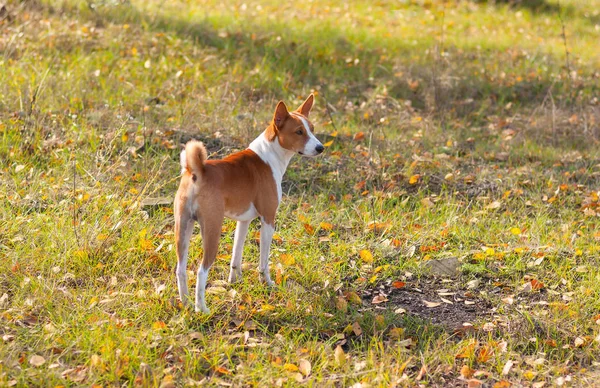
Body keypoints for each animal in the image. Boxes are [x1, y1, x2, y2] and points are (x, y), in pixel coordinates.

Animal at [173, 95, 324, 314]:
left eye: (312, 128)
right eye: (299, 131)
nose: (321, 148)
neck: (268, 156)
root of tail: (197, 172)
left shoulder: (243, 221)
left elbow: (236, 255)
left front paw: (235, 282)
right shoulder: (268, 219)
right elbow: (264, 261)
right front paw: (267, 283)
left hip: (183, 228)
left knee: (180, 270)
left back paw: (185, 303)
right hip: (212, 231)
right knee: (201, 271)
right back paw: (201, 308)